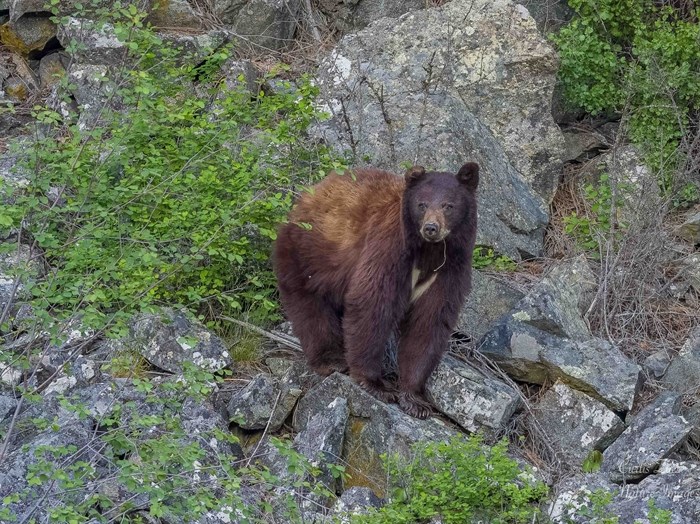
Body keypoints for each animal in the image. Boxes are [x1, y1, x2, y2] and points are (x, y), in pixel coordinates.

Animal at [270, 163, 478, 418]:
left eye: (448, 205)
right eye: (422, 204)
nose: (431, 228)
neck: (428, 252)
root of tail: (310, 192)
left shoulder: (449, 269)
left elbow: (429, 323)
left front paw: (415, 399)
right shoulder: (390, 249)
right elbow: (372, 305)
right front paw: (376, 383)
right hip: (308, 254)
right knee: (310, 308)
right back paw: (331, 359)